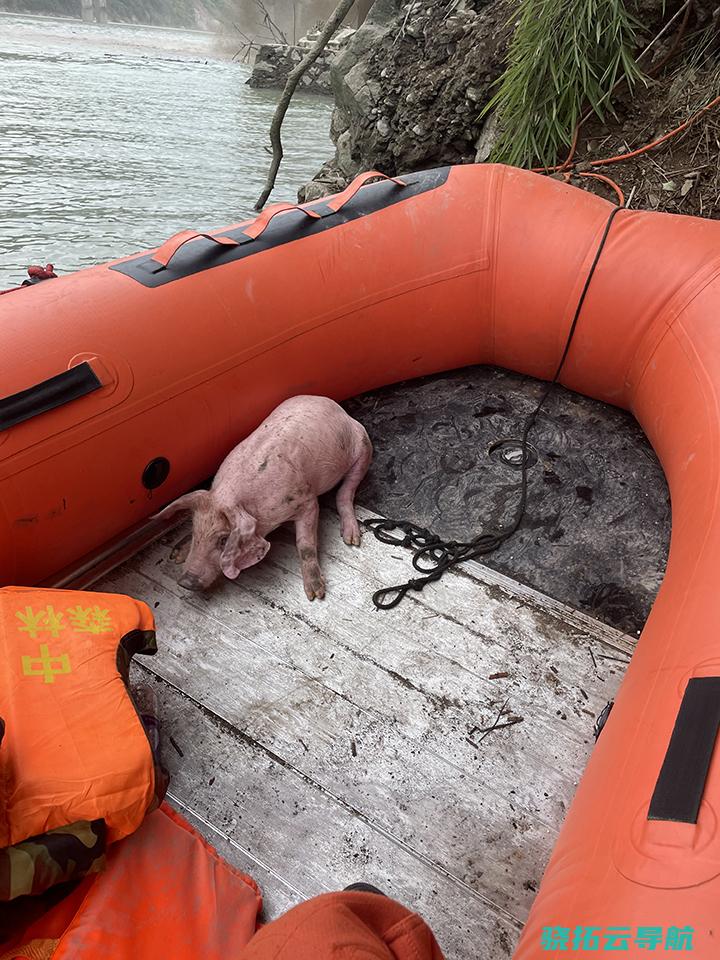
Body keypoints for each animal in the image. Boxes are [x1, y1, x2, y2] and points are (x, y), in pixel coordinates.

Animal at [155, 394, 374, 596]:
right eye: (194, 530)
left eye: (224, 540)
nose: (185, 582)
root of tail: (338, 407)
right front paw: (176, 556)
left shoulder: (307, 501)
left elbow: (305, 545)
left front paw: (315, 594)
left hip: (364, 447)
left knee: (345, 492)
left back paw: (351, 540)